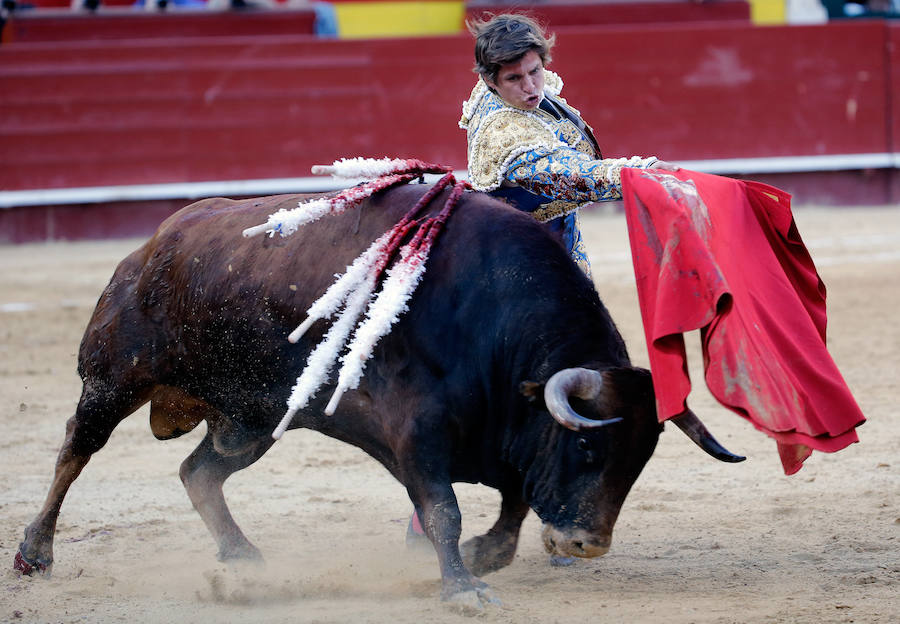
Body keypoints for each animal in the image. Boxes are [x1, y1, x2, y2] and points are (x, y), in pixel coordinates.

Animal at [14, 182, 740, 608]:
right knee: (74, 453)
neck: (490, 321)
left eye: (638, 464)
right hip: (113, 378)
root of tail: (151, 248)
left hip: (252, 419)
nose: (587, 544)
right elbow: (444, 510)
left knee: (198, 473)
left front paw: (480, 561)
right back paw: (35, 552)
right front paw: (462, 589)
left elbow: (511, 512)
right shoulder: (415, 436)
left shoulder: (505, 439)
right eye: (588, 451)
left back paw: (242, 560)